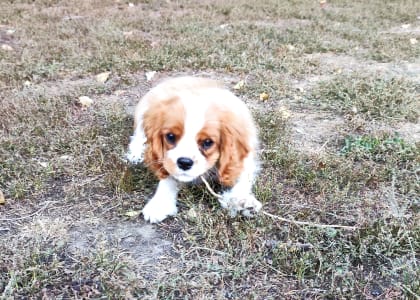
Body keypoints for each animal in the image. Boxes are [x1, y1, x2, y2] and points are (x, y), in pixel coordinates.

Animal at [126, 77, 260, 223]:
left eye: (207, 142)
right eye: (170, 136)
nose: (184, 162)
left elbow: (243, 177)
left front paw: (242, 201)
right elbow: (168, 177)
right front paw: (159, 204)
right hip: (144, 111)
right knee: (138, 135)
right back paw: (136, 154)